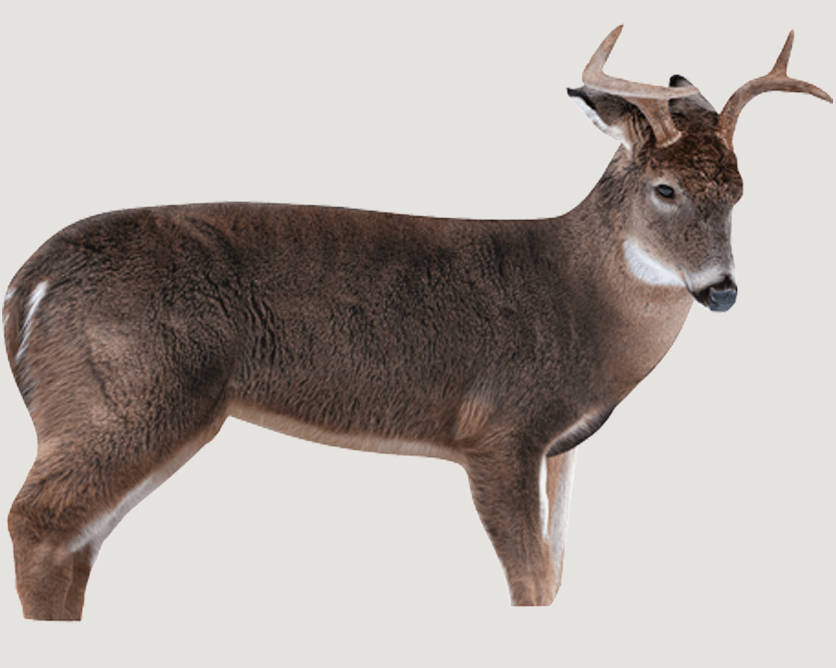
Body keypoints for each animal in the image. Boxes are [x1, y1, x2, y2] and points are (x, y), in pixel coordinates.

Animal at [4, 26, 830, 620]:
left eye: (741, 192)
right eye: (664, 189)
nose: (721, 290)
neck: (581, 301)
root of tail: (26, 284)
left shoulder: (562, 446)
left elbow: (558, 574)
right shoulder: (498, 427)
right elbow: (530, 580)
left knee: (77, 542)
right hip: (128, 392)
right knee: (37, 524)